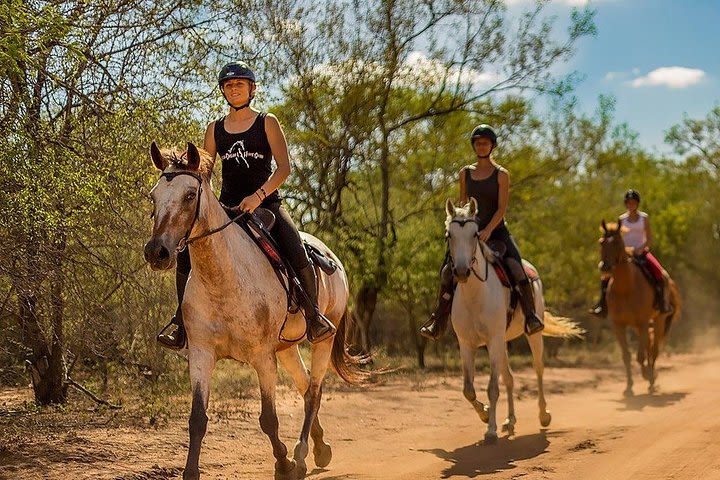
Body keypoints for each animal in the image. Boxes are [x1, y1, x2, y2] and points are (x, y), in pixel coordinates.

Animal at [143, 142, 366, 480]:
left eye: (190, 195)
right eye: (153, 196)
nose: (157, 252)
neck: (223, 278)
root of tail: (332, 257)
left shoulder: (262, 357)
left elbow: (268, 419)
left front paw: (284, 464)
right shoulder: (201, 354)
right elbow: (197, 419)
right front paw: (190, 472)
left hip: (323, 339)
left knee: (313, 391)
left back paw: (301, 455)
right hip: (287, 348)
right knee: (305, 386)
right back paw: (321, 448)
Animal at [448, 198, 584, 442]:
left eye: (474, 234)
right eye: (449, 235)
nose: (462, 271)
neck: (475, 294)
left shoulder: (493, 340)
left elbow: (492, 387)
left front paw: (490, 431)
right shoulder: (466, 344)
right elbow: (468, 389)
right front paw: (485, 415)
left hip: (531, 334)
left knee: (538, 368)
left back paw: (544, 415)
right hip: (502, 342)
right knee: (509, 378)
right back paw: (510, 421)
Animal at [600, 220, 684, 394]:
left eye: (617, 242)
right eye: (601, 242)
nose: (605, 267)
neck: (625, 288)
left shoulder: (643, 322)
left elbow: (640, 356)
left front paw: (648, 376)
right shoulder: (618, 325)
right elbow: (627, 356)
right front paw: (629, 388)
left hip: (658, 321)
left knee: (654, 350)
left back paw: (651, 381)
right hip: (638, 327)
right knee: (648, 348)